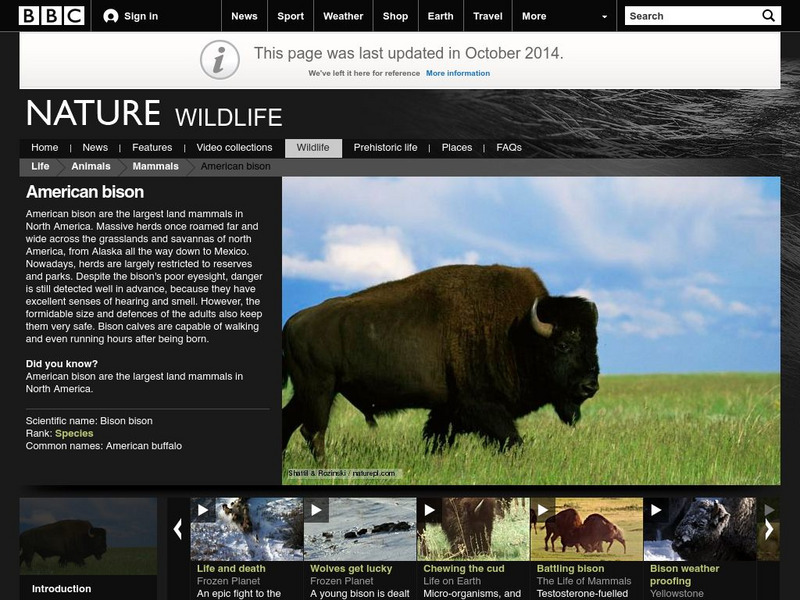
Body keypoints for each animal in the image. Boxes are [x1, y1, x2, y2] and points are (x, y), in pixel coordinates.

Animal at [282, 264, 599, 461]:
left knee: (291, 422)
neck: (518, 331)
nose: (590, 386)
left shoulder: (446, 410)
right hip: (320, 389)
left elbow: (436, 438)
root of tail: (293, 321)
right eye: (563, 344)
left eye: (594, 343)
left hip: (309, 392)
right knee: (313, 431)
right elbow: (511, 439)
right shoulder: (481, 406)